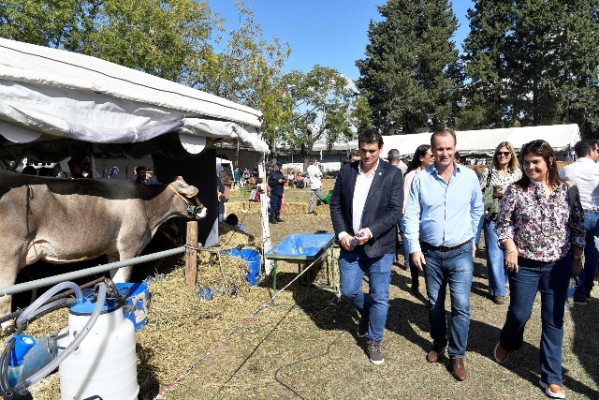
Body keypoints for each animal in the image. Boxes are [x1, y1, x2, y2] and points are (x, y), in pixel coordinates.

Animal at [0, 172, 207, 324]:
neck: (149, 209)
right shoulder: (129, 247)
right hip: (9, 256)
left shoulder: (114, 252)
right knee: (5, 297)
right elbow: (124, 277)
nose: (205, 210)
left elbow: (115, 277)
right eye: (193, 195)